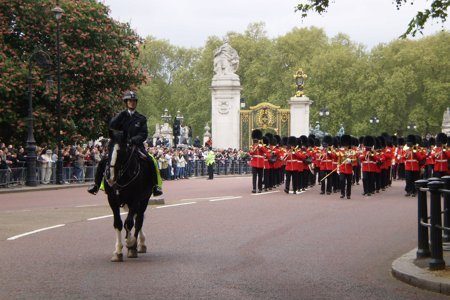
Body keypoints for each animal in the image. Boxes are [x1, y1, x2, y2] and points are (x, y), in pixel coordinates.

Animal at [104, 130, 158, 262]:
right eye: (107, 148)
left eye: (121, 150)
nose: (110, 177)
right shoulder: (112, 200)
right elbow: (118, 223)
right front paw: (118, 251)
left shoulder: (135, 199)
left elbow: (129, 223)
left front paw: (130, 243)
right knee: (136, 218)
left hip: (144, 200)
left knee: (138, 219)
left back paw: (139, 244)